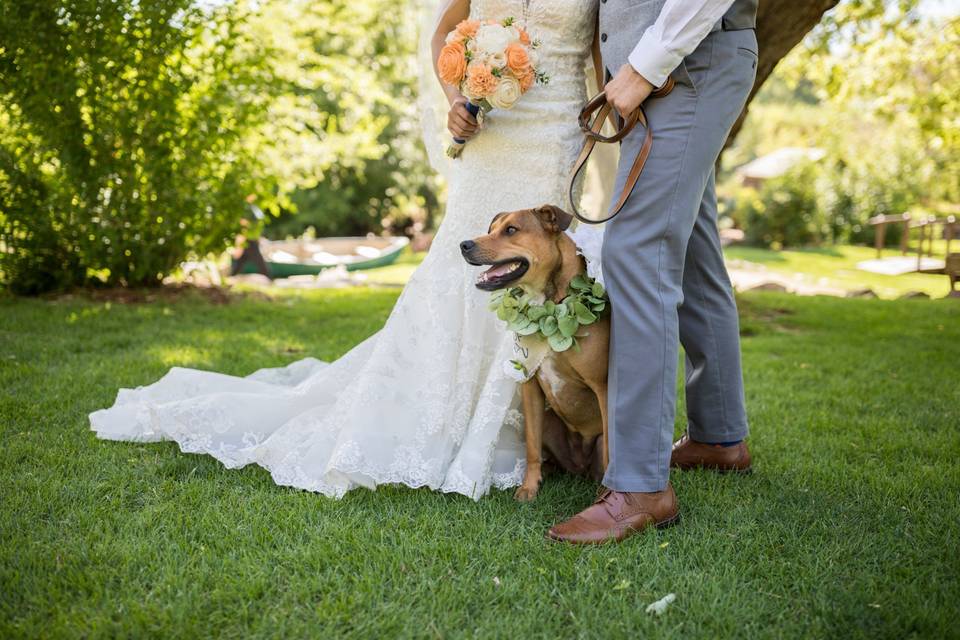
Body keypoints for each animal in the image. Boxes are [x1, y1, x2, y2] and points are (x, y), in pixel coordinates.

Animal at [462, 205, 612, 500]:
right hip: (550, 421)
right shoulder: (530, 386)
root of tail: (581, 466)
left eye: (511, 230)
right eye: (491, 230)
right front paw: (529, 487)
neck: (552, 303)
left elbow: (614, 450)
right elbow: (532, 444)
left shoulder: (603, 388)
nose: (464, 245)